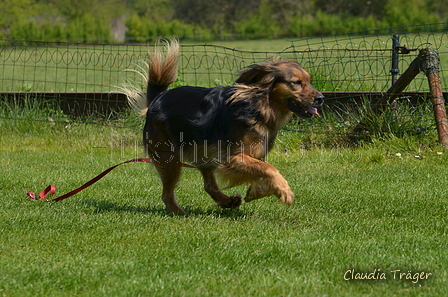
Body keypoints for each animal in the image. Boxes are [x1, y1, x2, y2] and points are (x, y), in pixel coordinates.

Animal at [124, 40, 324, 214]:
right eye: (296, 83)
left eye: (309, 81)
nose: (321, 98)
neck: (258, 106)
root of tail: (157, 99)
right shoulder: (231, 157)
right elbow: (269, 169)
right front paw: (284, 191)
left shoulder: (251, 155)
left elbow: (262, 171)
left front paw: (256, 191)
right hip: (170, 158)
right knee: (167, 194)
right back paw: (179, 212)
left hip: (202, 151)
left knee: (208, 185)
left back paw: (227, 201)